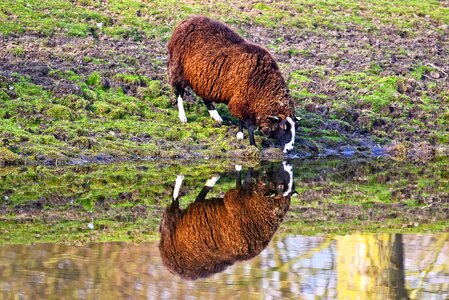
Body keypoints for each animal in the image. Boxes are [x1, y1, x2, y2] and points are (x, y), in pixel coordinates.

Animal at [158, 161, 294, 280]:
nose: (271, 169)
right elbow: (244, 179)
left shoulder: (234, 196)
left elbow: (242, 181)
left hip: (172, 225)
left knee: (177, 203)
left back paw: (193, 178)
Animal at [168, 15, 298, 152]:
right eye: (283, 128)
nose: (290, 149)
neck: (263, 84)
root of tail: (187, 20)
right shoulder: (240, 100)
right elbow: (248, 124)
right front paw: (252, 144)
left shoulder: (240, 100)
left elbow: (241, 119)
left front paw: (240, 135)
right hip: (178, 68)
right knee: (179, 92)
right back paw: (183, 117)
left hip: (203, 79)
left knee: (205, 97)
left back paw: (217, 117)